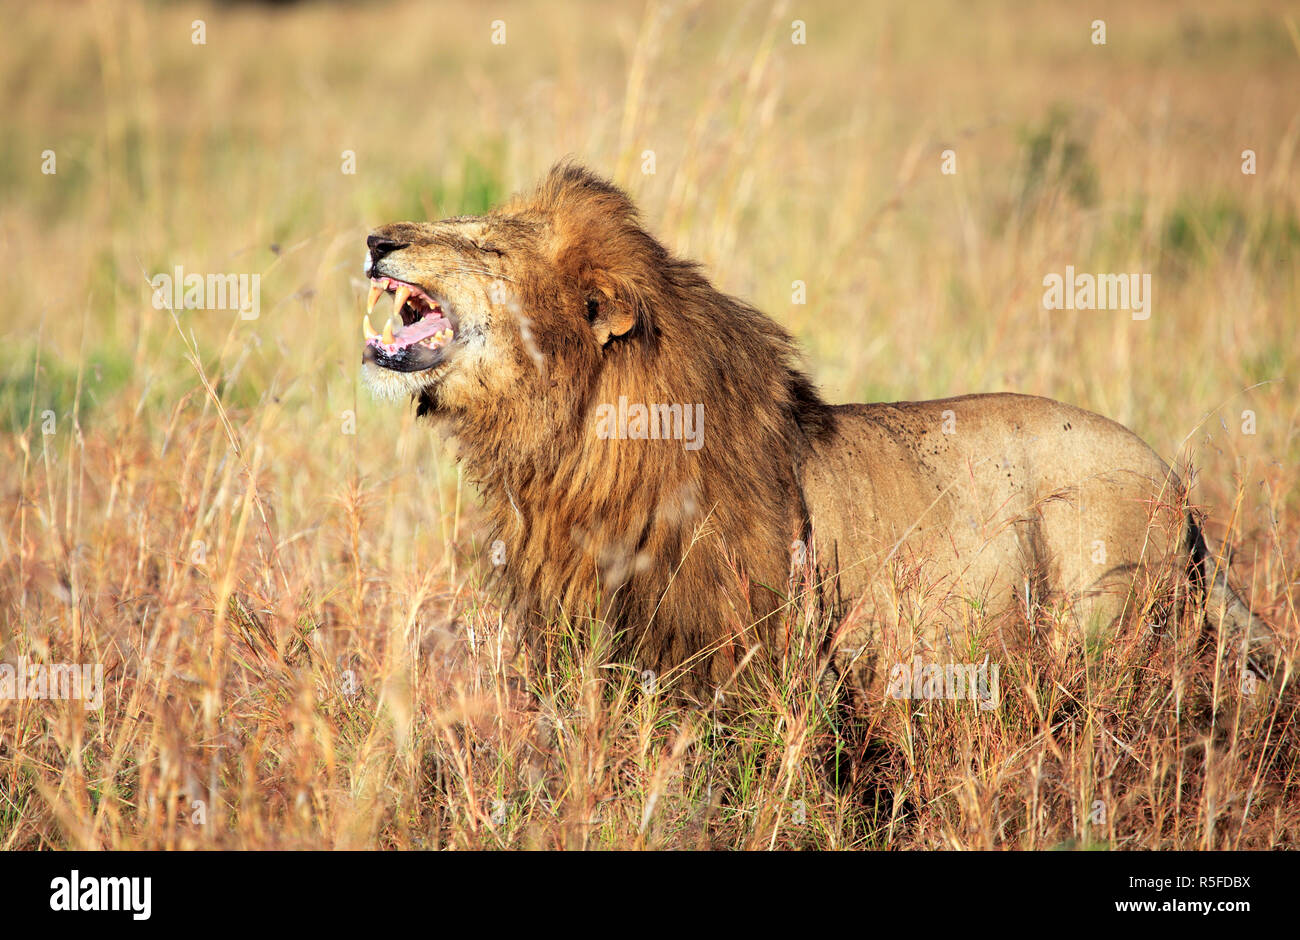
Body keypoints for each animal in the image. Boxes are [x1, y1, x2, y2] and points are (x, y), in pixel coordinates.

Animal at [361, 165, 1274, 702]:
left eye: (484, 245)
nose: (375, 238)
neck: (567, 443)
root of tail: (1181, 494)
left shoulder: (741, 651)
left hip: (1102, 628)